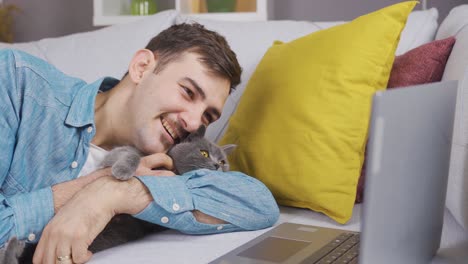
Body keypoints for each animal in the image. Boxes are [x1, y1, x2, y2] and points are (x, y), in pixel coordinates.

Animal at [0, 126, 234, 264]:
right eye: (204, 153)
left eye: (223, 161)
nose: (217, 165)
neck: (175, 169)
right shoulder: (128, 152)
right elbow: (130, 156)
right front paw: (122, 172)